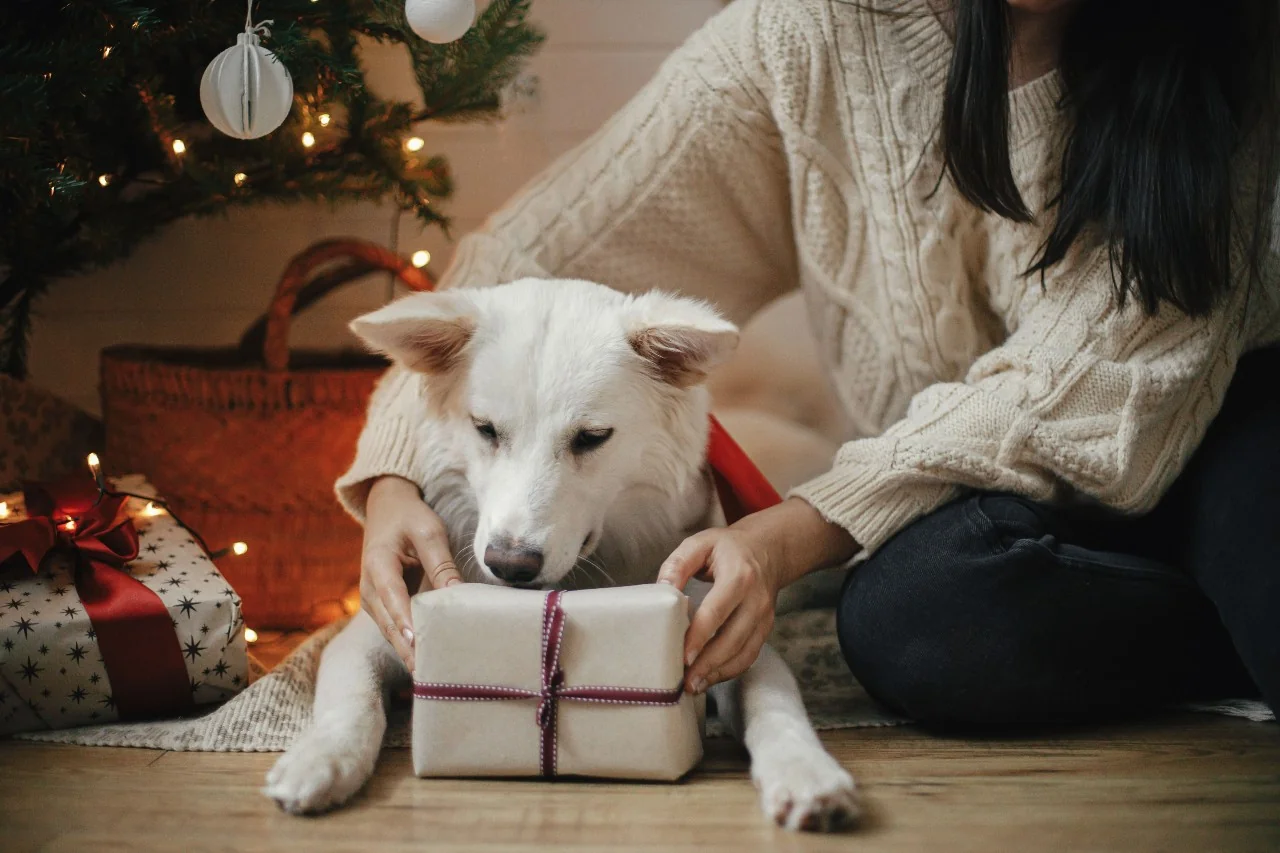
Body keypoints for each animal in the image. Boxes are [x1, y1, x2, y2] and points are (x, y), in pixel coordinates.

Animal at [262, 279, 860, 829]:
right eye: (485, 429)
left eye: (591, 438)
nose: (510, 564)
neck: (574, 584)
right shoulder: (380, 626)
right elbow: (353, 697)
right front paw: (320, 758)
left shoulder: (733, 633)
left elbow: (775, 705)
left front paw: (806, 771)